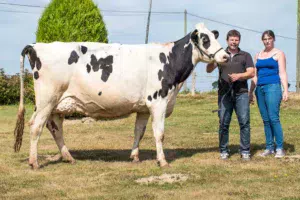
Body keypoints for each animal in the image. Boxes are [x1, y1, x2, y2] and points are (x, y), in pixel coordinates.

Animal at [14, 23, 229, 169]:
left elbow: (139, 132)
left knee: (55, 128)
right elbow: (159, 133)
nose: (225, 56)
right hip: (47, 99)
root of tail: (36, 46)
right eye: (205, 40)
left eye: (215, 37)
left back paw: (68, 157)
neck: (170, 61)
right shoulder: (158, 102)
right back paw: (34, 162)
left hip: (57, 104)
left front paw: (134, 157)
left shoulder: (144, 107)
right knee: (36, 126)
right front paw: (162, 161)